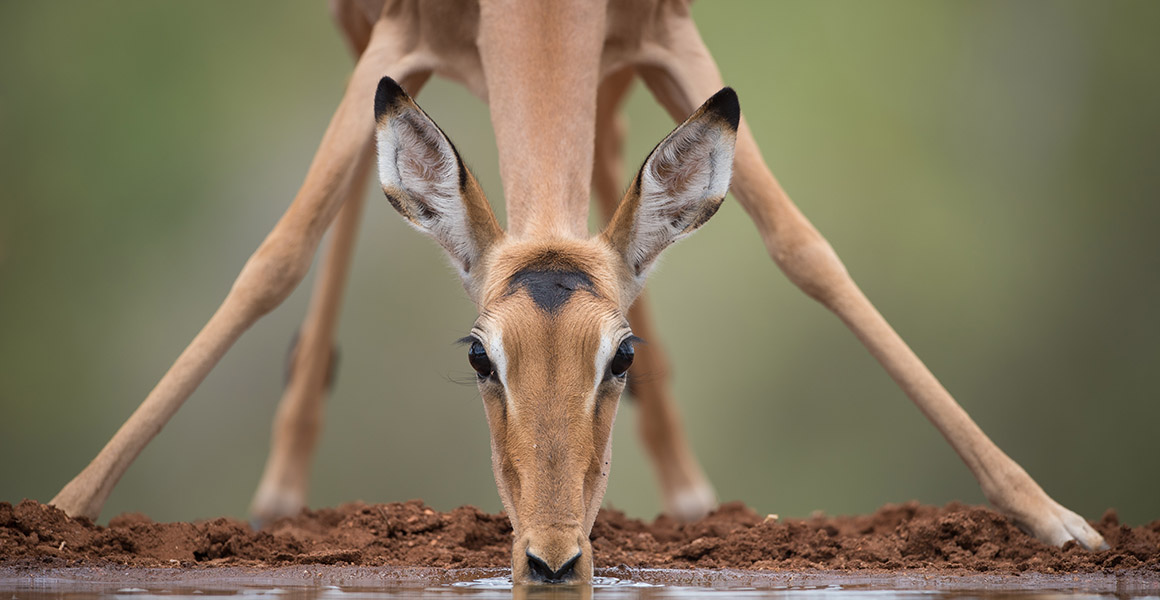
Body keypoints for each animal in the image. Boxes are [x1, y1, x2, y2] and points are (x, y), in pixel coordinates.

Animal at [49, 0, 1108, 584]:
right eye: (480, 354)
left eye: (619, 354)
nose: (552, 561)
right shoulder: (395, 37)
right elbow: (277, 254)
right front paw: (65, 510)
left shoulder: (669, 35)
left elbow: (804, 249)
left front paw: (1058, 519)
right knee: (351, 206)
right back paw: (278, 489)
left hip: (614, 72)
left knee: (619, 174)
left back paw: (689, 489)